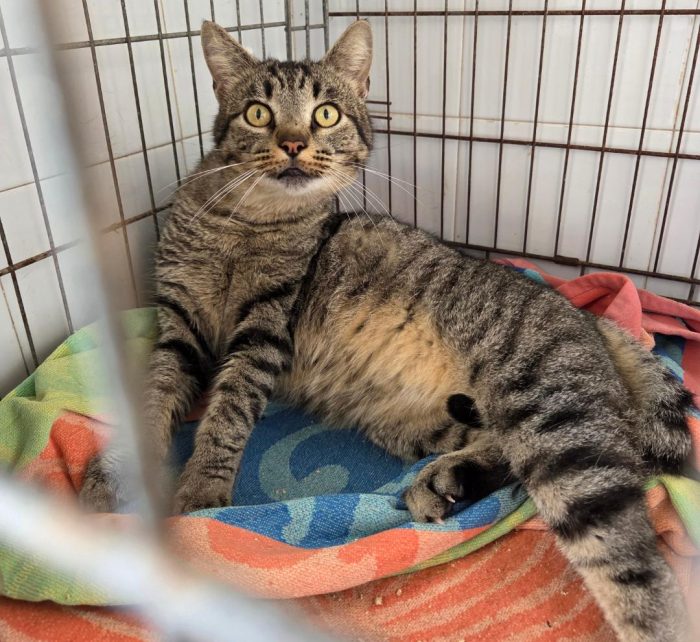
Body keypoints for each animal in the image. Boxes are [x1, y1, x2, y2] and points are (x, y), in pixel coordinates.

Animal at [80, 20, 695, 642]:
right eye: (258, 113)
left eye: (325, 114)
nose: (294, 143)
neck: (245, 220)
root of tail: (587, 319)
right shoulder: (178, 328)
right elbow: (153, 395)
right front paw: (115, 475)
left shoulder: (263, 333)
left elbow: (227, 411)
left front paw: (202, 494)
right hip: (423, 424)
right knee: (506, 456)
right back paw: (453, 481)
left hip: (553, 414)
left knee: (623, 549)